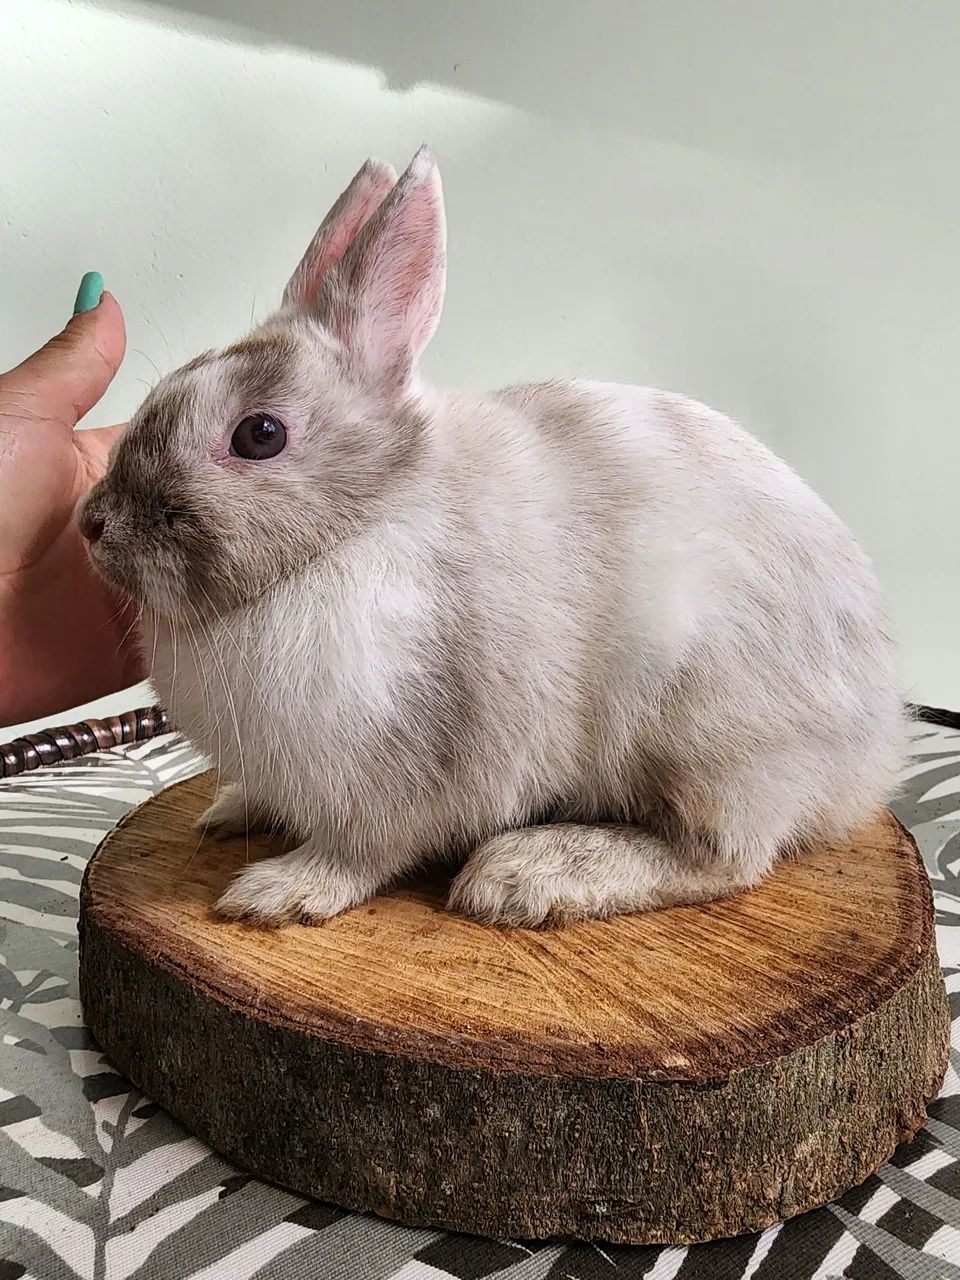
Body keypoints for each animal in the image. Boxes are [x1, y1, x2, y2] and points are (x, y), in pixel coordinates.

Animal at [78, 148, 904, 930]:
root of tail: (869, 750)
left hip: (711, 739)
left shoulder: (401, 767)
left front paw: (279, 893)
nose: (93, 524)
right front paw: (232, 809)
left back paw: (525, 876)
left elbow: (360, 852)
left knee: (724, 858)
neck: (355, 527)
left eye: (260, 435)